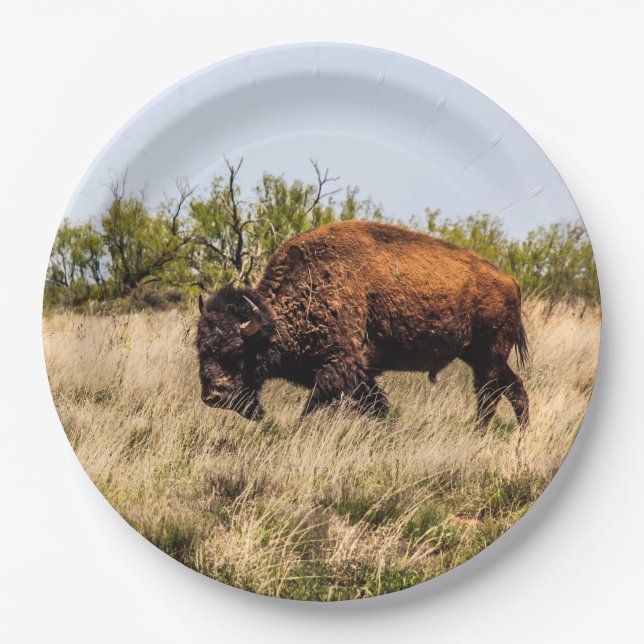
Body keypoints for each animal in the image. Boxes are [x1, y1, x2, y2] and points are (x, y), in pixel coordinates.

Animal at [196, 221, 529, 428]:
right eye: (201, 351)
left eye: (237, 352)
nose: (213, 397)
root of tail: (511, 282)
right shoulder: (357, 374)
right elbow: (376, 405)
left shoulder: (339, 368)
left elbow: (314, 408)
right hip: (482, 357)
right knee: (515, 390)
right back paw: (521, 434)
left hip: (488, 357)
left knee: (489, 396)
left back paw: (480, 433)